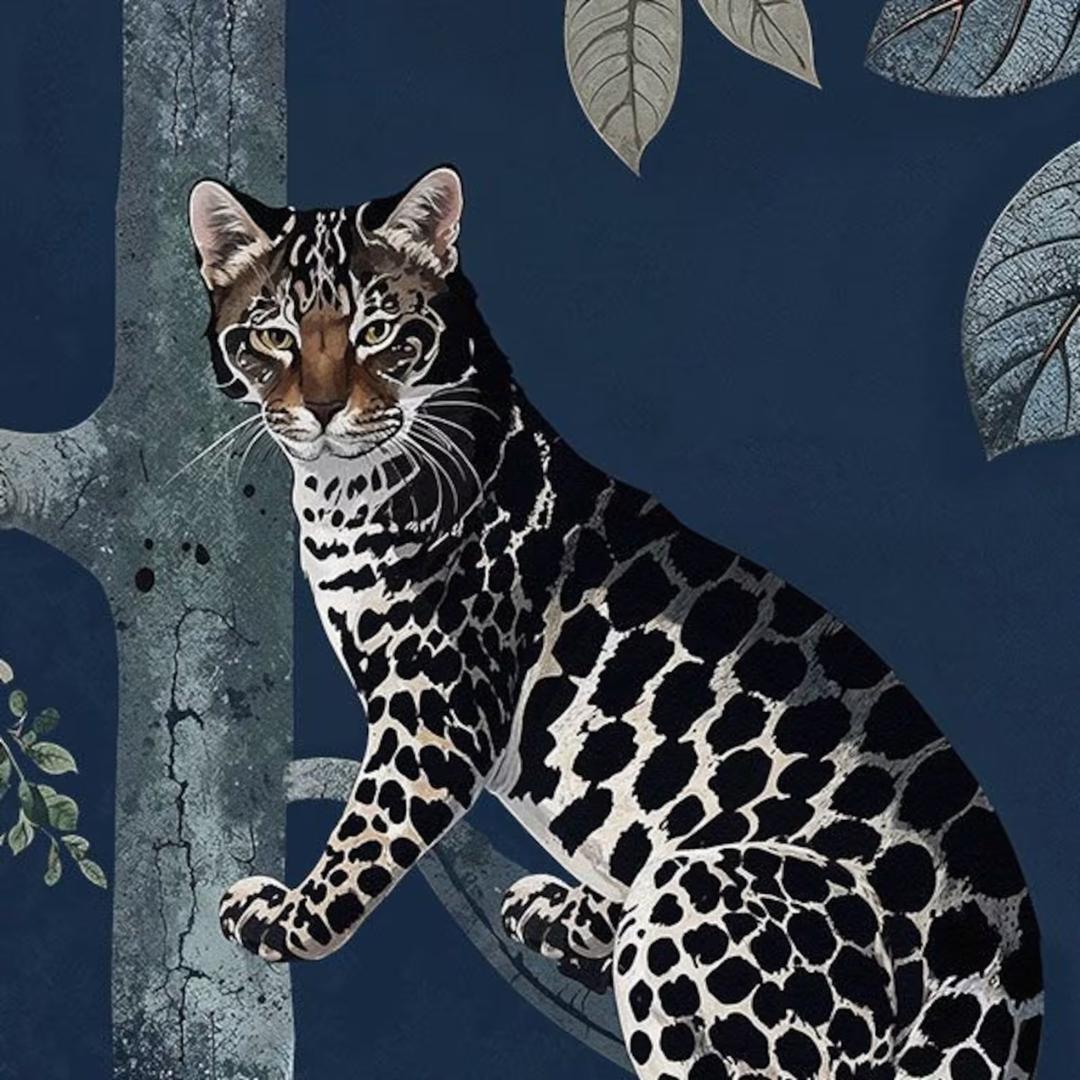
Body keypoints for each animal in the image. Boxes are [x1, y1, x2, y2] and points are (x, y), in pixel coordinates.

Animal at [188, 166, 1043, 1080]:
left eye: (379, 331)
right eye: (272, 335)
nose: (318, 411)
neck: (344, 495)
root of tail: (1006, 965)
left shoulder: (435, 717)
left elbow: (366, 838)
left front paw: (285, 920)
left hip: (705, 902)